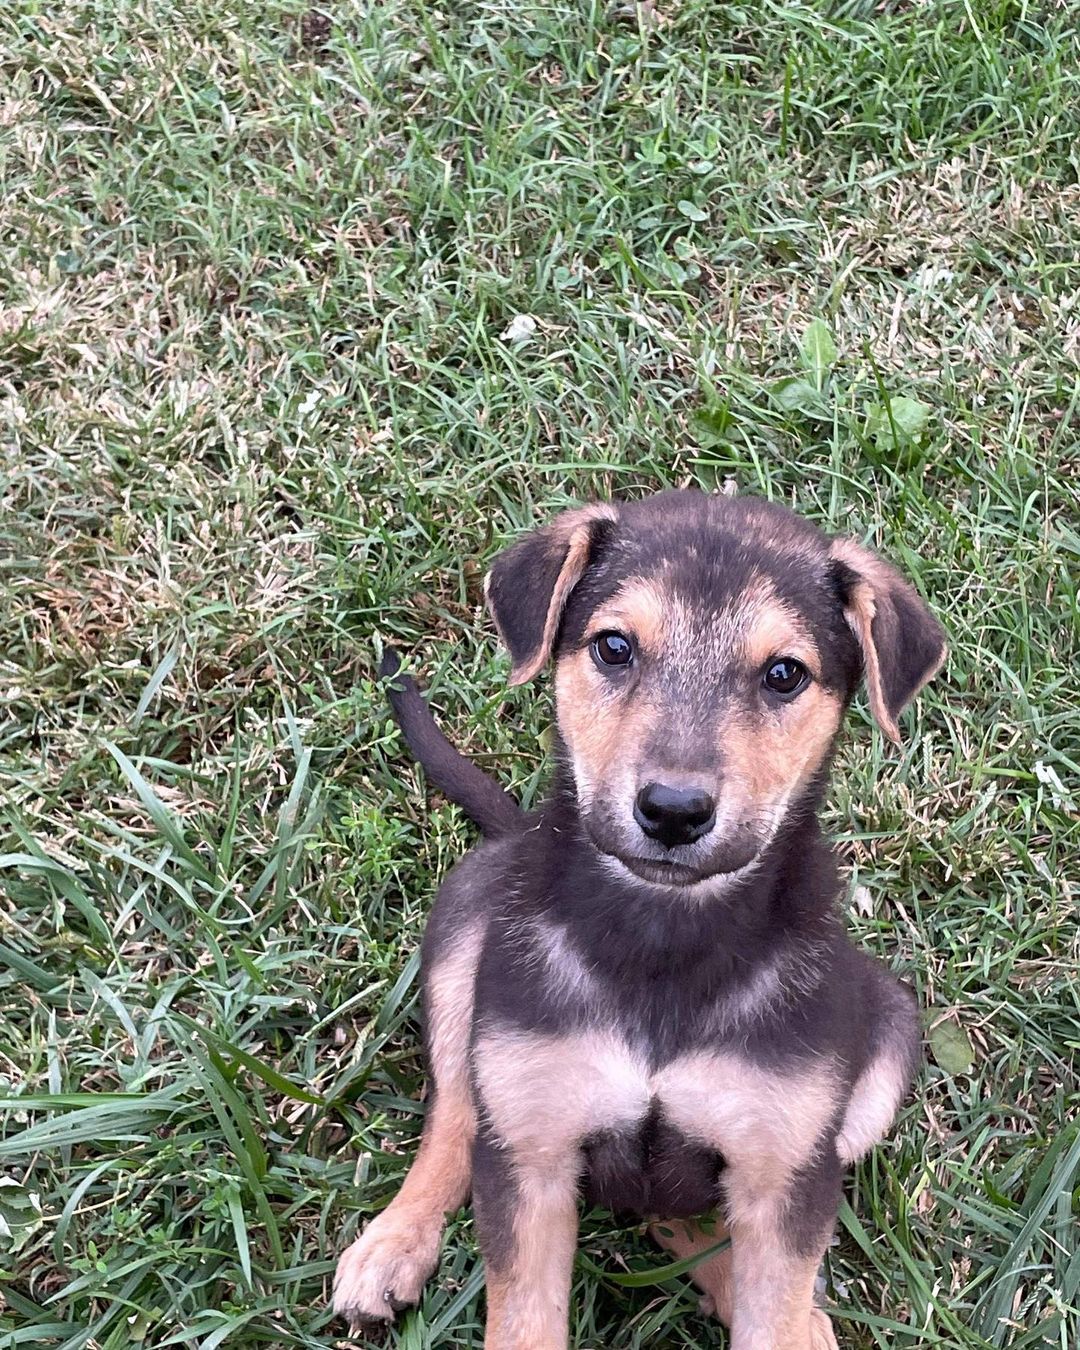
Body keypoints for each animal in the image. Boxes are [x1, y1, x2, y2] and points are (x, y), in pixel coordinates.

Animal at [334, 491, 945, 1350]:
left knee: (687, 1222)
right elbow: (522, 1319)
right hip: (461, 948)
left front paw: (785, 1316)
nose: (674, 812)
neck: (664, 939)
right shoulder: (533, 1153)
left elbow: (770, 1292)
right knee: (456, 1113)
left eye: (784, 674)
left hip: (883, 1047)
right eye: (613, 647)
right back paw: (393, 1244)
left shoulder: (783, 1169)